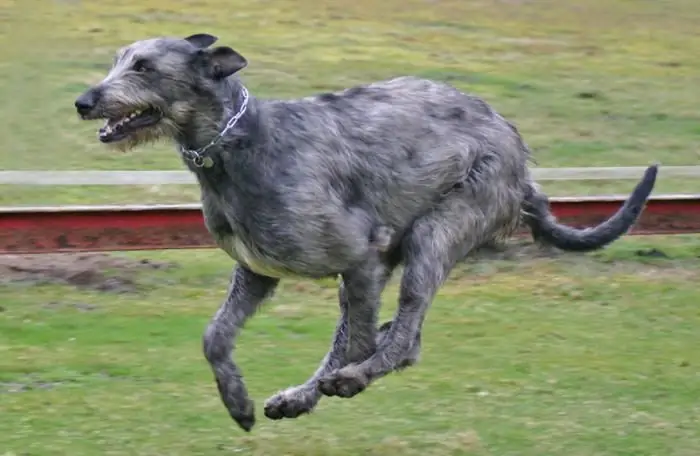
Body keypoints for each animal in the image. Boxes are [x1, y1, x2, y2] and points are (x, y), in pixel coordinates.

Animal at [75, 32, 656, 432]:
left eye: (145, 66)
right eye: (118, 59)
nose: (84, 101)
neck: (239, 142)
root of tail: (521, 160)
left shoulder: (361, 255)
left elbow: (356, 341)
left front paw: (343, 377)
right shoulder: (258, 271)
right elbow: (215, 336)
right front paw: (237, 402)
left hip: (438, 231)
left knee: (401, 337)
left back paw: (347, 380)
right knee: (400, 337)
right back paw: (302, 395)